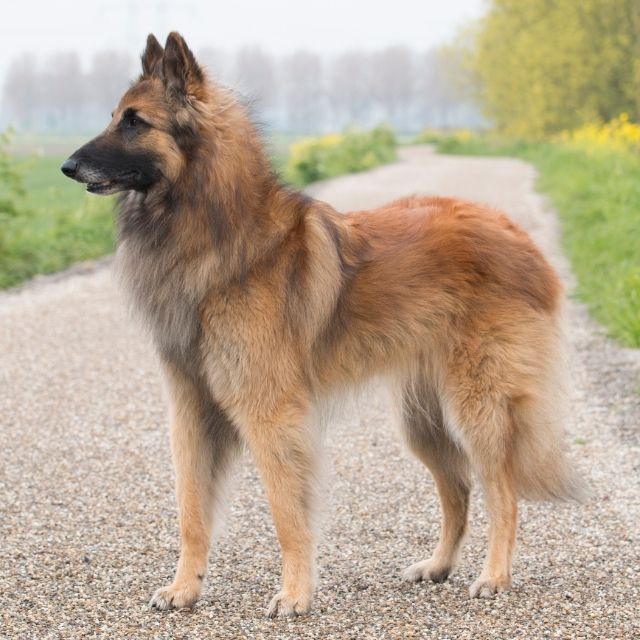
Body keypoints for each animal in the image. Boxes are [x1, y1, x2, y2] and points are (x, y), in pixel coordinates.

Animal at [61, 32, 584, 616]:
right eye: (114, 117)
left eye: (135, 122)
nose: (66, 166)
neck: (217, 233)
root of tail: (518, 233)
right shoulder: (192, 407)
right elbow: (192, 511)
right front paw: (184, 588)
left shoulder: (269, 413)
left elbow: (287, 513)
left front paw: (294, 595)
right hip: (422, 419)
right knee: (459, 491)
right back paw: (438, 565)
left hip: (477, 408)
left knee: (503, 492)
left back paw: (493, 577)